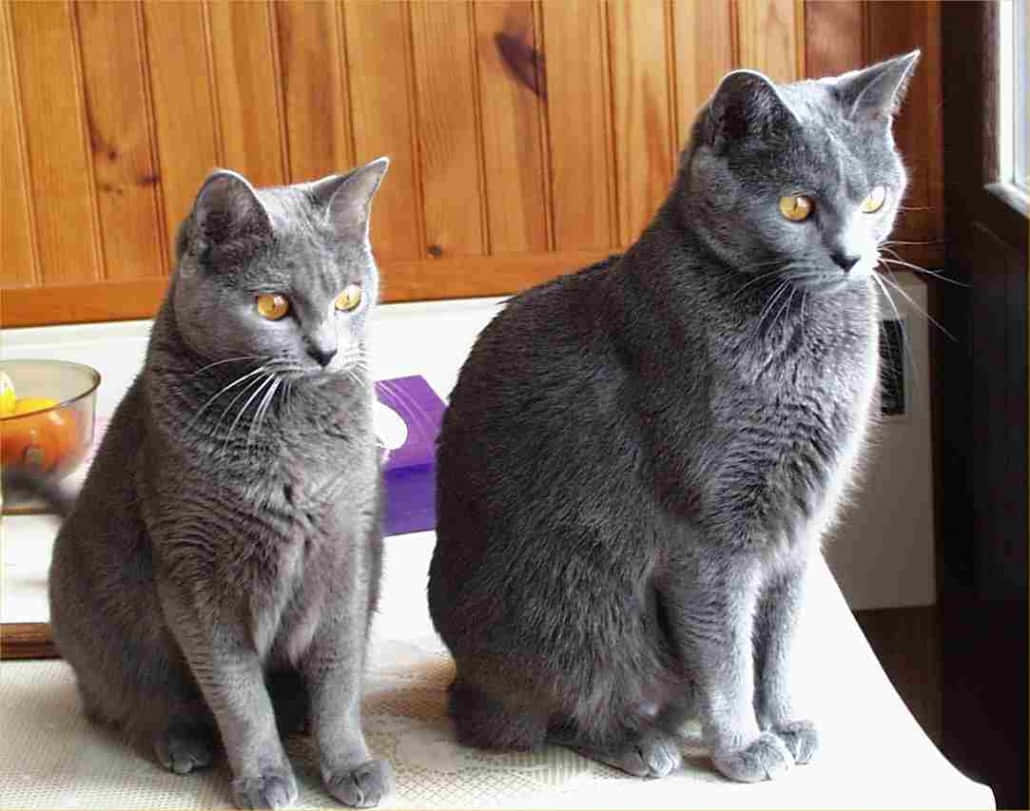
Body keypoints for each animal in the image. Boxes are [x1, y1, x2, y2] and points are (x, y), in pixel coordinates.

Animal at [44, 159, 389, 811]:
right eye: (273, 305)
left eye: (349, 298)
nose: (327, 351)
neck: (288, 429)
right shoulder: (195, 578)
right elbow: (237, 696)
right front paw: (264, 780)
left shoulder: (346, 554)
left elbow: (338, 679)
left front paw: (351, 766)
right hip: (99, 616)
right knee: (130, 698)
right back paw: (182, 742)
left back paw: (297, 717)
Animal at [426, 53, 918, 783]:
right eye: (796, 205)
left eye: (875, 201)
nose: (852, 256)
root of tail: (463, 682)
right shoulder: (710, 538)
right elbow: (727, 656)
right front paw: (744, 747)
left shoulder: (799, 530)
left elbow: (780, 640)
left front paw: (785, 722)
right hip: (578, 598)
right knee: (550, 714)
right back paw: (638, 741)